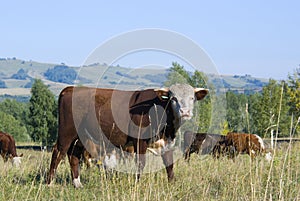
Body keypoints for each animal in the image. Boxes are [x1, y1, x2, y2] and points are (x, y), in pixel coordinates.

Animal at [47, 83, 209, 187]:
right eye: (173, 98)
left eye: (192, 98)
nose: (185, 112)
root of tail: (70, 89)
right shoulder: (139, 141)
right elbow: (141, 163)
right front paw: (137, 184)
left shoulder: (167, 143)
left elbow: (169, 164)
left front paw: (172, 184)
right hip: (66, 132)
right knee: (58, 152)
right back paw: (49, 183)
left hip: (81, 137)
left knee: (73, 155)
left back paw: (77, 183)